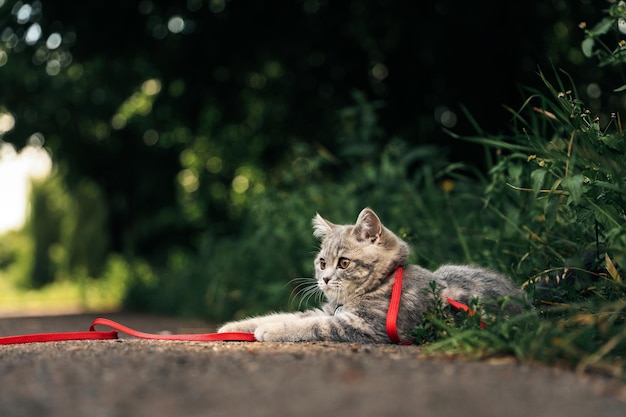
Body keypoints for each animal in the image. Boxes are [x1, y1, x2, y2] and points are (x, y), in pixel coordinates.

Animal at [217, 207, 524, 342]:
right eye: (322, 262)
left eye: (343, 263)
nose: (324, 279)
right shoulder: (327, 311)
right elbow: (291, 316)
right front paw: (235, 326)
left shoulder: (361, 325)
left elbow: (308, 325)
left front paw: (269, 330)